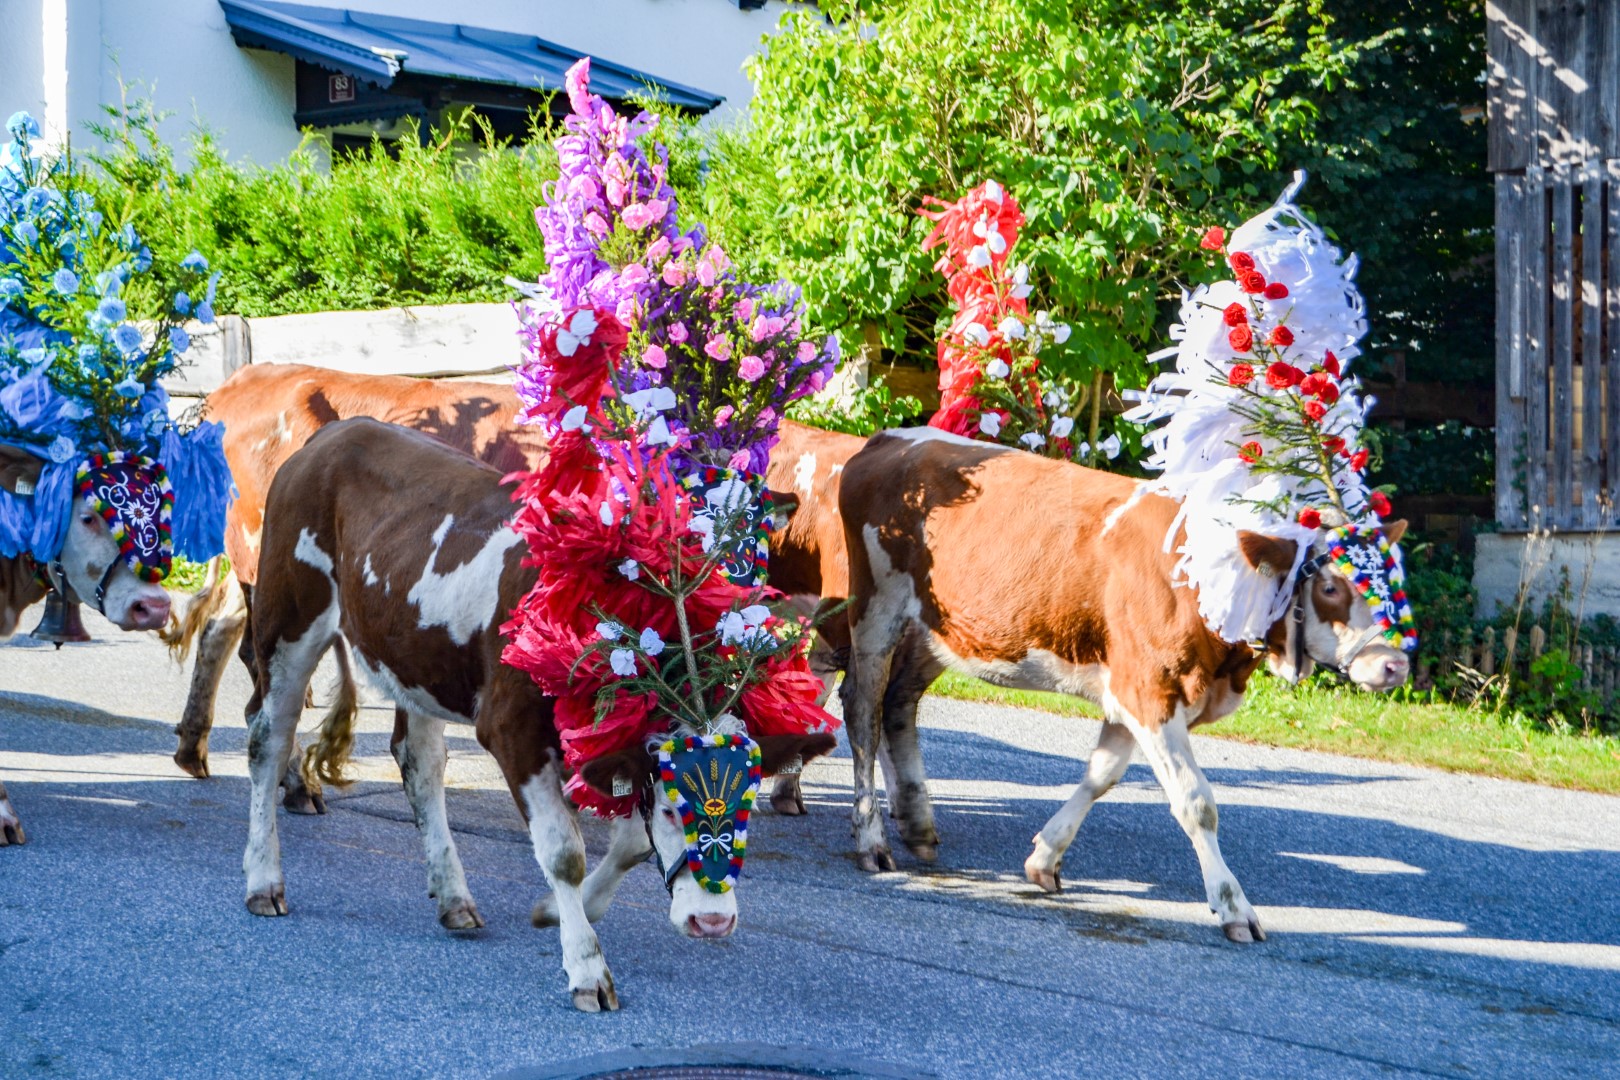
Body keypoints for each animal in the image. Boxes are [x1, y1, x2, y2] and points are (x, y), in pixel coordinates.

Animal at [167, 365, 550, 803]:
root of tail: (245, 378)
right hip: (274, 570)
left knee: (220, 627)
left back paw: (193, 748)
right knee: (260, 683)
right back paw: (296, 780)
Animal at [244, 417, 829, 1010]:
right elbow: (563, 851)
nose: (711, 921)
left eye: (748, 805)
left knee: (419, 762)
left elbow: (631, 844)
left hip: (416, 659)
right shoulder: (512, 730)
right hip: (287, 619)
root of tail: (336, 433)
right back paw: (264, 881)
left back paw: (453, 897)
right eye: (672, 811)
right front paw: (587, 966)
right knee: (268, 740)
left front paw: (561, 911)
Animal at [835, 427, 1406, 939]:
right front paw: (1233, 906)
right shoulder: (1149, 690)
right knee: (862, 711)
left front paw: (1045, 856)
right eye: (1330, 587)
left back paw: (917, 824)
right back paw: (871, 841)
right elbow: (1196, 802)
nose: (1394, 665)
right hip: (876, 609)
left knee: (898, 704)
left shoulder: (1134, 692)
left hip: (941, 629)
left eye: (1391, 581)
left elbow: (1102, 775)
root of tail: (886, 440)